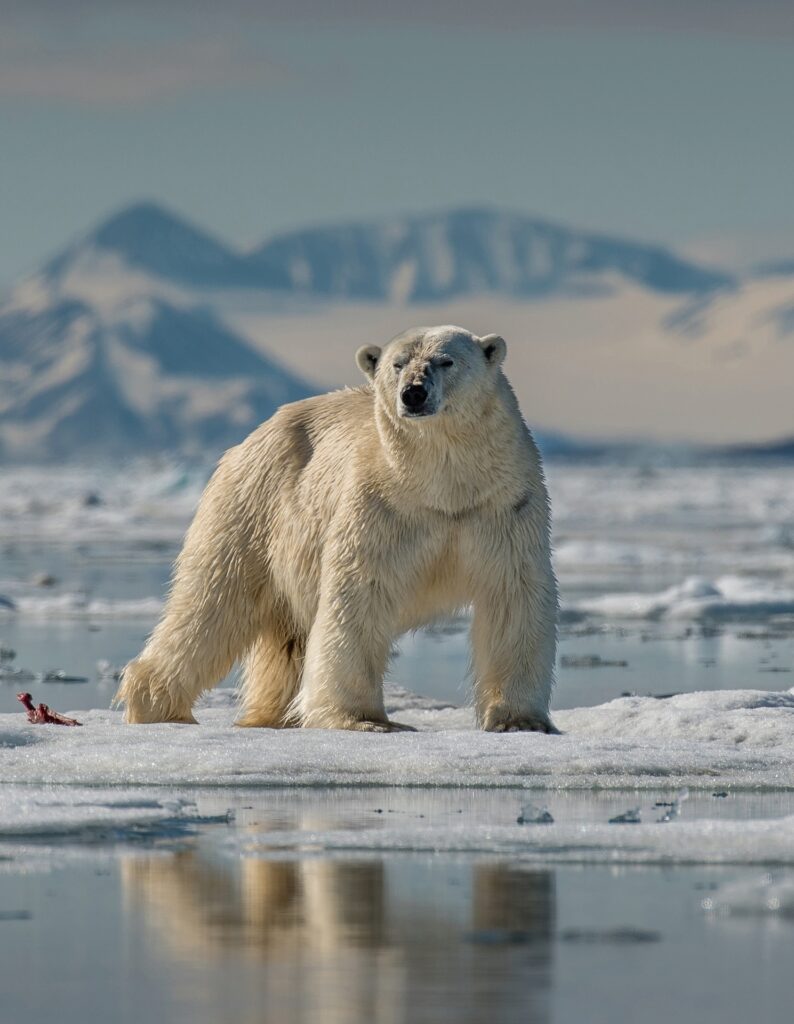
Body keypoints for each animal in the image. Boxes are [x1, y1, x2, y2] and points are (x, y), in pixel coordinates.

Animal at [115, 325, 559, 733]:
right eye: (397, 364)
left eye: (446, 361)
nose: (413, 393)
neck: (443, 486)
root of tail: (251, 437)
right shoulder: (381, 506)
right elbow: (359, 594)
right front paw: (364, 719)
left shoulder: (503, 506)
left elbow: (512, 595)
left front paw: (520, 721)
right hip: (256, 507)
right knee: (213, 600)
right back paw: (158, 706)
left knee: (280, 637)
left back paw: (273, 714)